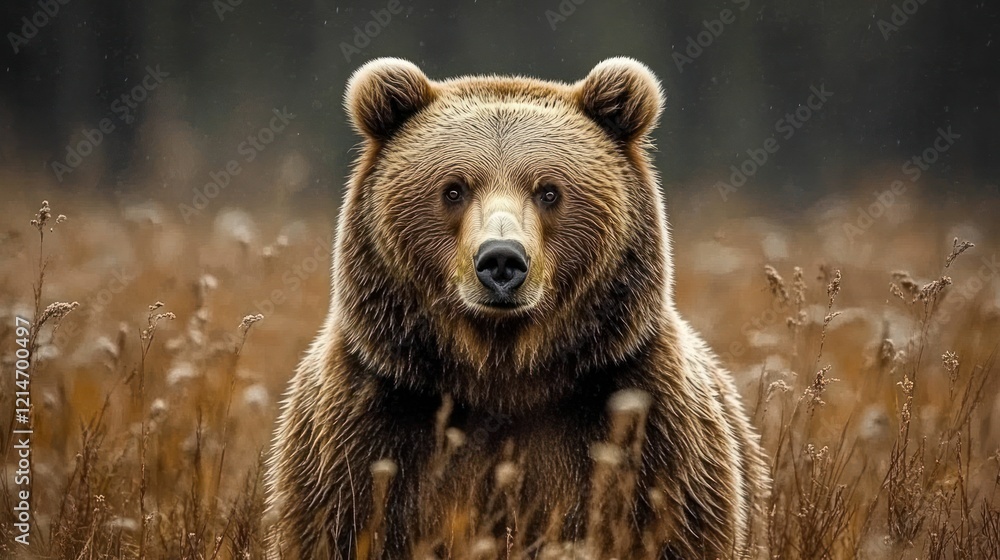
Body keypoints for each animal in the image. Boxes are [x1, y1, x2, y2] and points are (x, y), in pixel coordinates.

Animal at [265, 57, 769, 559]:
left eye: (549, 190)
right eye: (454, 189)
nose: (502, 260)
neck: (503, 373)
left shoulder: (646, 426)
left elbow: (670, 525)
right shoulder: (368, 425)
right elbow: (341, 523)